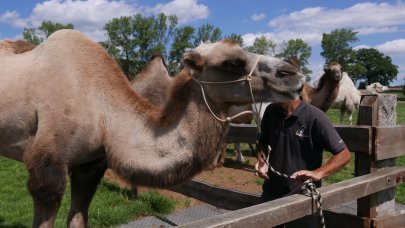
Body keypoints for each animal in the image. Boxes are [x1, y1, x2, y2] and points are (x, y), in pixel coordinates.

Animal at [0, 30, 304, 228]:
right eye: (233, 62)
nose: (293, 74)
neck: (101, 108)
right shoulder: (47, 170)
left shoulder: (90, 166)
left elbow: (77, 219)